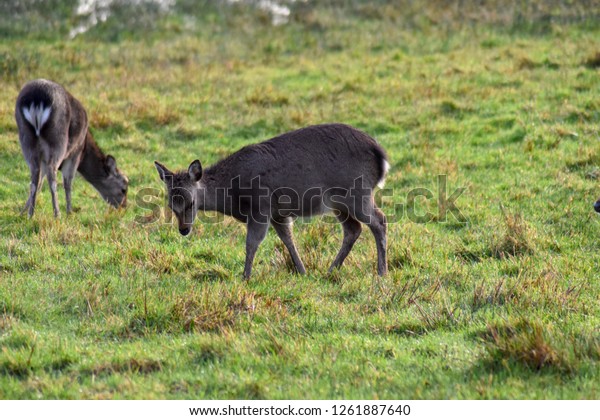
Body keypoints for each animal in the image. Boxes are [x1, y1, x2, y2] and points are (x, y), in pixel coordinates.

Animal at [15, 79, 127, 218]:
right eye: (124, 189)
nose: (124, 207)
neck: (85, 147)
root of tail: (36, 101)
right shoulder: (75, 152)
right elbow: (68, 181)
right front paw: (70, 212)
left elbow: (40, 180)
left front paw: (22, 212)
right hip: (58, 141)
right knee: (52, 174)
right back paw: (57, 214)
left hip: (27, 140)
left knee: (34, 175)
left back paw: (31, 215)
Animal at [155, 122, 390, 278]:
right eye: (171, 205)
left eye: (191, 203)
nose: (184, 229)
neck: (235, 197)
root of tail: (382, 157)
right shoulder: (278, 213)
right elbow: (288, 239)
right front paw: (302, 271)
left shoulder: (261, 206)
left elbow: (251, 243)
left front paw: (245, 277)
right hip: (338, 202)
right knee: (353, 229)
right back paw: (331, 270)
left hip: (357, 192)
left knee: (379, 220)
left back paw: (381, 272)